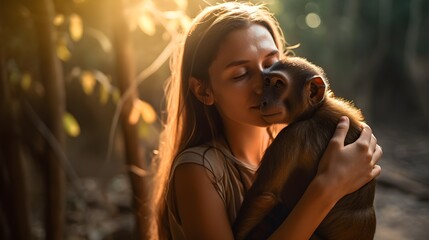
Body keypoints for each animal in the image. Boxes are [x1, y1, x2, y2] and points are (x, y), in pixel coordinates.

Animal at [232, 57, 376, 239]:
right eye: (267, 83)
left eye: (278, 84)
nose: (263, 102)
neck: (315, 111)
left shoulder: (290, 136)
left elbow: (263, 195)